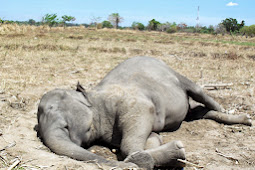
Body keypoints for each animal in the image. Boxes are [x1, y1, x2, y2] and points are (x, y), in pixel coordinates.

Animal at [36, 56, 252, 169]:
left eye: (65, 124)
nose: (128, 166)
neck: (93, 95)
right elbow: (151, 137)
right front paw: (163, 149)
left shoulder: (131, 102)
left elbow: (136, 127)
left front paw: (173, 152)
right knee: (197, 113)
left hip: (176, 75)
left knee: (198, 92)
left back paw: (242, 118)